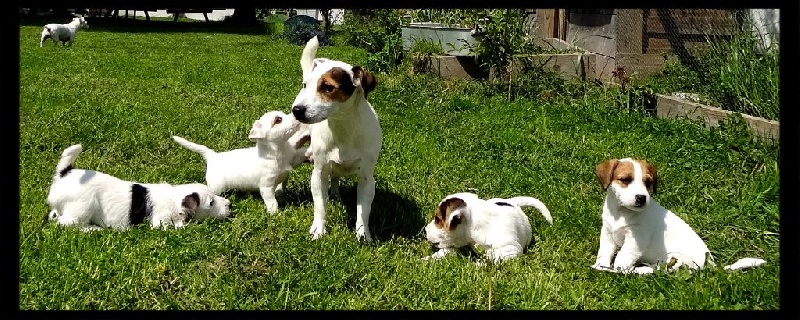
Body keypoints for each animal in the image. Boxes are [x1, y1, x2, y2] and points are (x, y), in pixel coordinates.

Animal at [46, 144, 230, 231]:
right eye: (211, 203)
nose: (230, 205)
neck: (174, 199)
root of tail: (64, 173)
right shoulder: (161, 222)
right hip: (81, 208)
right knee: (66, 223)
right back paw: (93, 229)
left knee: (55, 215)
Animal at [172, 110, 310, 212]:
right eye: (278, 120)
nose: (296, 114)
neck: (279, 152)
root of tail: (212, 156)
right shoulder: (267, 186)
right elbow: (272, 202)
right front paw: (275, 214)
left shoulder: (293, 157)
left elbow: (302, 153)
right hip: (217, 186)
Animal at [290, 36, 382, 241]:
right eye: (305, 85)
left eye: (327, 87)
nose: (297, 110)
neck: (342, 128)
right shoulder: (318, 173)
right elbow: (320, 206)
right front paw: (318, 229)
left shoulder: (367, 179)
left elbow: (364, 210)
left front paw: (363, 234)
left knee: (336, 178)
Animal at [422, 192, 552, 262]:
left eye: (437, 219)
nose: (425, 230)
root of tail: (513, 203)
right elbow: (447, 250)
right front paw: (428, 259)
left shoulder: (510, 250)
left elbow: (492, 258)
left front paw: (479, 264)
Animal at [592, 159, 764, 274]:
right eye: (626, 180)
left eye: (648, 183)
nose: (642, 198)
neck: (621, 213)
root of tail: (709, 264)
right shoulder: (607, 233)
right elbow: (604, 252)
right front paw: (600, 266)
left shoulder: (636, 239)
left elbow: (623, 256)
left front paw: (617, 270)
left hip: (676, 260)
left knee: (661, 270)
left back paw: (639, 270)